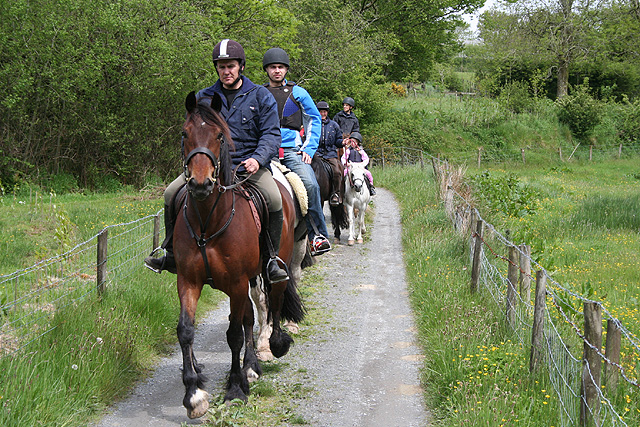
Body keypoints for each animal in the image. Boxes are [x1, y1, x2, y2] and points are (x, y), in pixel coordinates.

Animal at [175, 93, 304, 418]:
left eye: (220, 136)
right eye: (185, 133)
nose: (200, 184)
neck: (208, 221)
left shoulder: (235, 282)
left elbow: (234, 332)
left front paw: (234, 390)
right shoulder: (188, 281)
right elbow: (186, 330)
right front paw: (194, 394)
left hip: (275, 266)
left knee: (274, 302)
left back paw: (273, 345)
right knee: (249, 314)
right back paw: (251, 367)